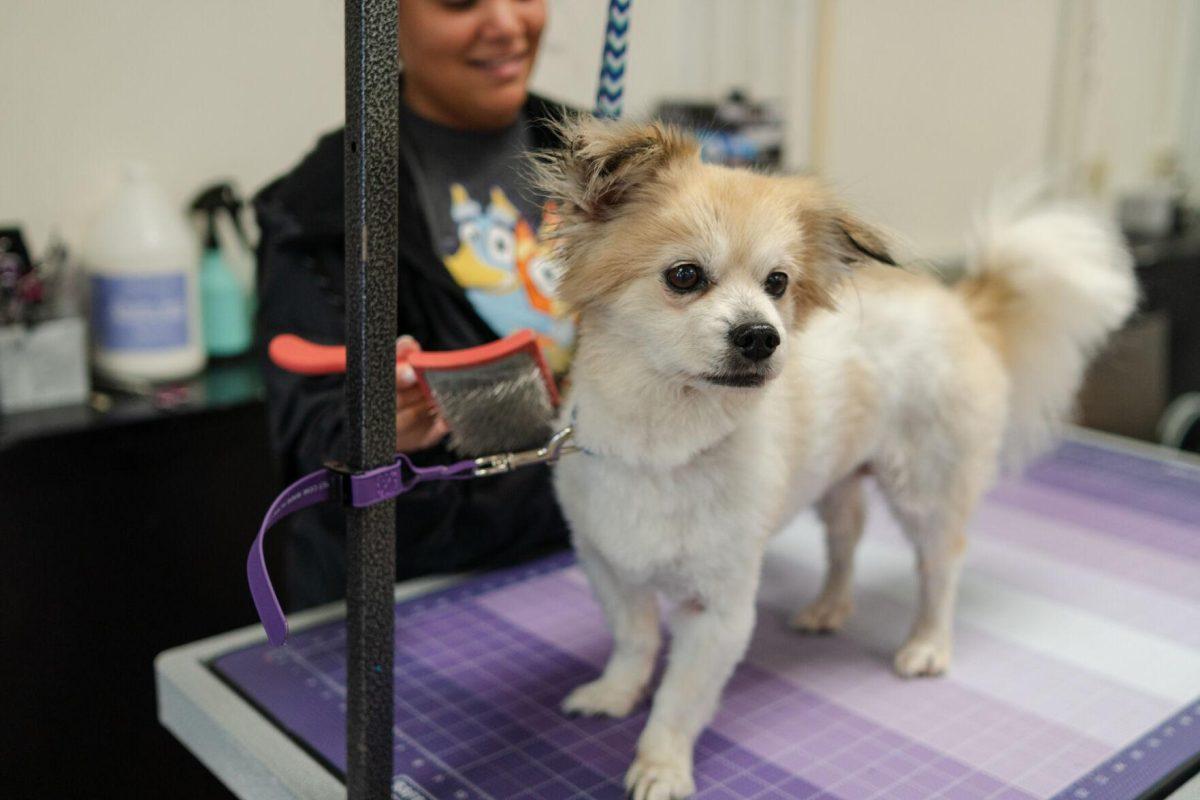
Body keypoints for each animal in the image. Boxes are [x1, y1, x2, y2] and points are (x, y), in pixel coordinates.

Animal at [532, 120, 1132, 800]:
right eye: (684, 276)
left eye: (778, 283)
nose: (762, 336)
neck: (663, 443)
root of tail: (960, 306)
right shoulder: (608, 566)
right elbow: (633, 643)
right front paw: (614, 693)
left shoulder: (719, 611)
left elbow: (680, 699)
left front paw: (661, 764)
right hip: (837, 480)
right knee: (847, 540)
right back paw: (828, 607)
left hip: (926, 491)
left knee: (940, 567)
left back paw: (927, 645)